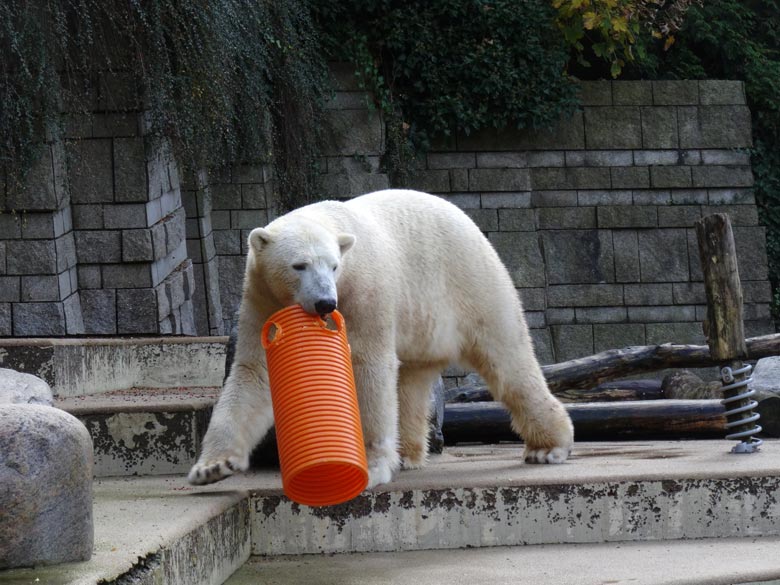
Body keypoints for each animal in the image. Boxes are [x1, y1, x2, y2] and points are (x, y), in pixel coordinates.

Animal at [190, 189, 572, 486]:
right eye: (299, 265)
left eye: (333, 266)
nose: (325, 303)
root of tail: (469, 222)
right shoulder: (262, 298)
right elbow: (255, 372)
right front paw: (211, 467)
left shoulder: (364, 291)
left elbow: (368, 366)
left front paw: (372, 467)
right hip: (422, 322)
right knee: (411, 382)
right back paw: (408, 453)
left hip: (470, 282)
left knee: (506, 359)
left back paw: (548, 447)